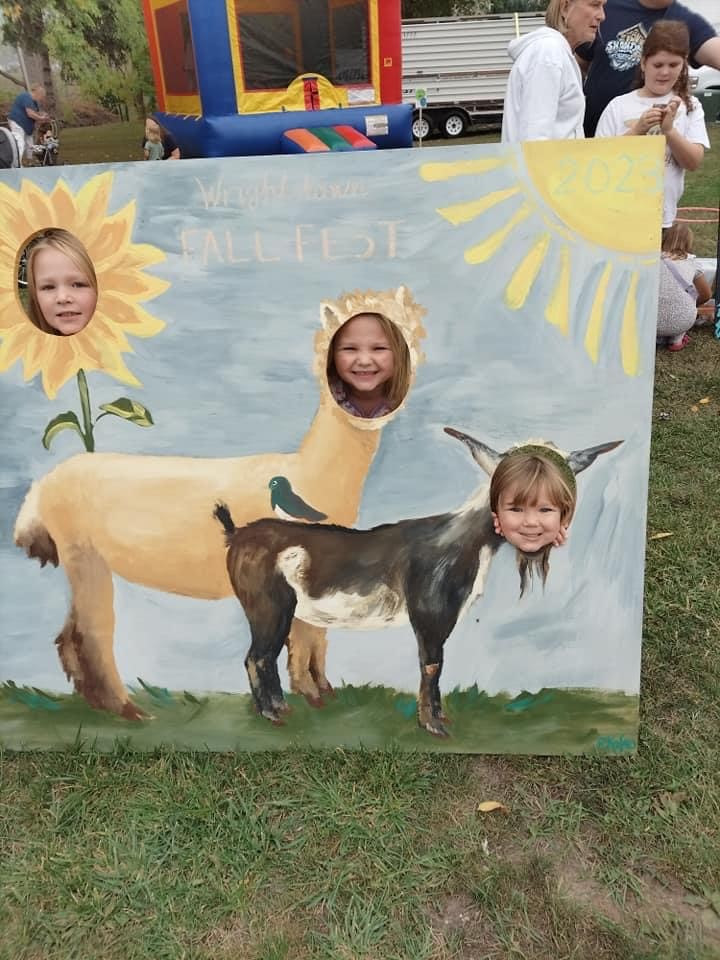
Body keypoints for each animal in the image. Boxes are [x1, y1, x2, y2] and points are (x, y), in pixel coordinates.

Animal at [212, 428, 620, 736]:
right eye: (515, 495)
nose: (544, 524)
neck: (460, 540)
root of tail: (236, 535)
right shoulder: (429, 610)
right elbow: (432, 664)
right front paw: (432, 725)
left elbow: (436, 664)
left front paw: (439, 717)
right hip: (268, 606)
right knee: (257, 656)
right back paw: (272, 714)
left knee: (264, 656)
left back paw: (280, 708)